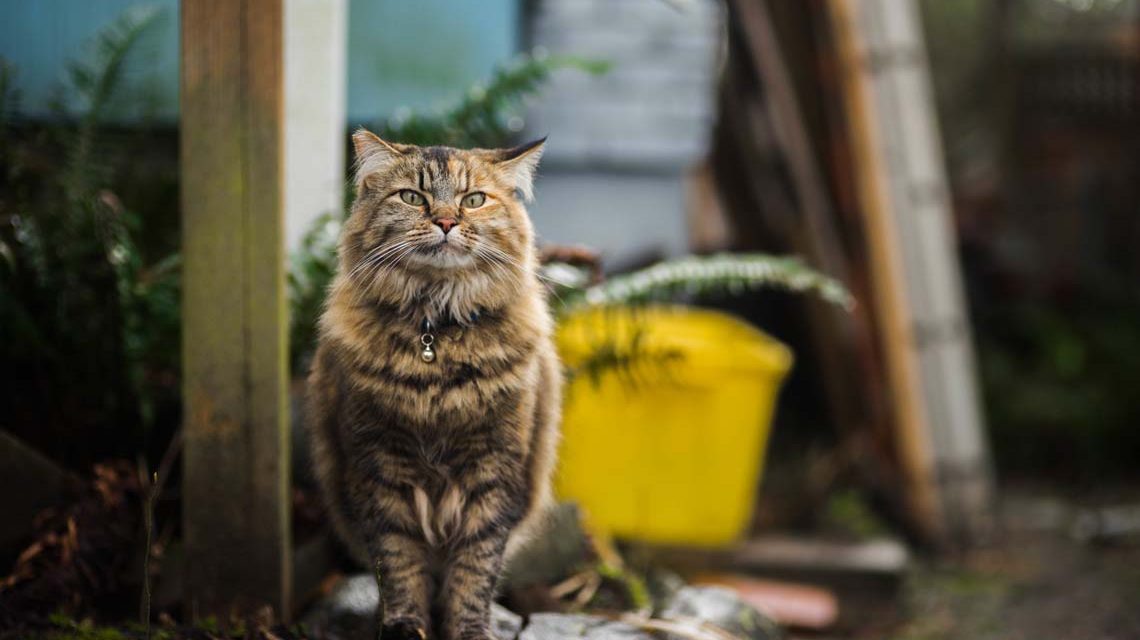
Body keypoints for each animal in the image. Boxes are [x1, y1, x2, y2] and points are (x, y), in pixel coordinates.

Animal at [306, 129, 562, 640]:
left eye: (474, 200)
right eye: (412, 197)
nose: (445, 220)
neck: (434, 336)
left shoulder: (494, 471)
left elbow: (474, 571)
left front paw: (469, 630)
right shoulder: (381, 470)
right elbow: (399, 567)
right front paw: (404, 627)